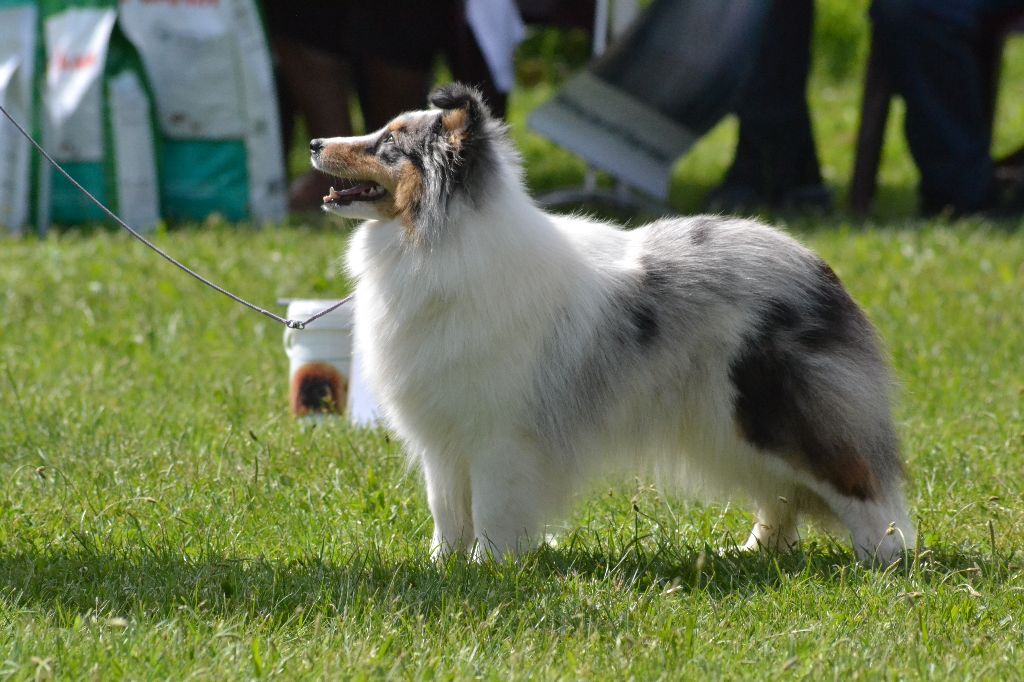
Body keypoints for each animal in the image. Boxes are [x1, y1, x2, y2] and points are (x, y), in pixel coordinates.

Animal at [307, 83, 917, 561]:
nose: (314, 143)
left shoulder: (499, 434)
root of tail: (817, 268)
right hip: (727, 424)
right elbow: (448, 513)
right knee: (780, 496)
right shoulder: (443, 434)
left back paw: (883, 558)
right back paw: (751, 551)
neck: (437, 244)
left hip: (771, 410)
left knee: (858, 481)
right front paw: (444, 568)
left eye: (389, 144)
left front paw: (489, 568)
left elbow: (493, 510)